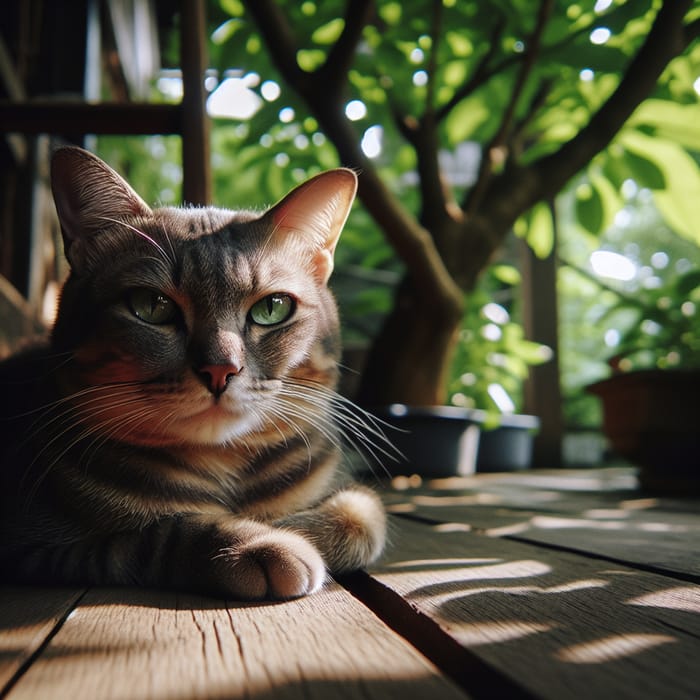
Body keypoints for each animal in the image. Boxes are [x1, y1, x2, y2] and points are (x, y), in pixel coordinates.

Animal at [0, 145, 386, 600]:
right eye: (152, 306)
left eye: (272, 308)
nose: (221, 369)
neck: (227, 469)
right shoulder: (35, 543)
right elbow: (164, 531)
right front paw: (263, 541)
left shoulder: (351, 493)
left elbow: (364, 515)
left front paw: (293, 525)